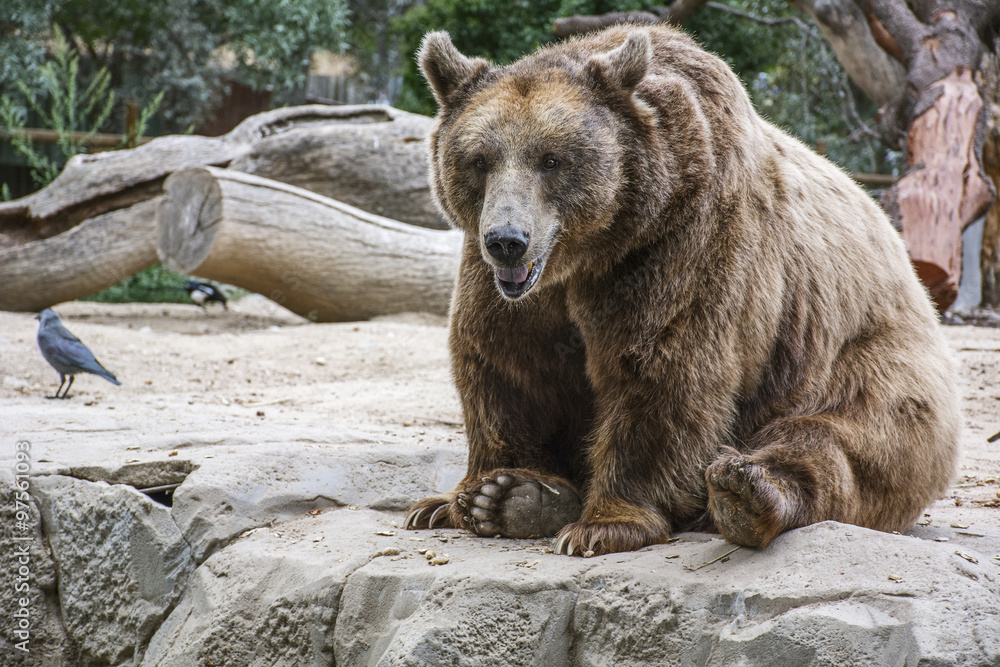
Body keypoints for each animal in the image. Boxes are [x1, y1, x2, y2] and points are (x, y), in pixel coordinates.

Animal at [404, 24, 960, 556]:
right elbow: (507, 366)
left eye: (552, 160)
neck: (594, 250)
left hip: (861, 366)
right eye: (479, 160)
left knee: (832, 441)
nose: (507, 241)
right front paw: (487, 492)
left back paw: (746, 494)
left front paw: (605, 524)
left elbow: (663, 370)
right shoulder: (513, 292)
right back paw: (513, 502)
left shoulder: (685, 242)